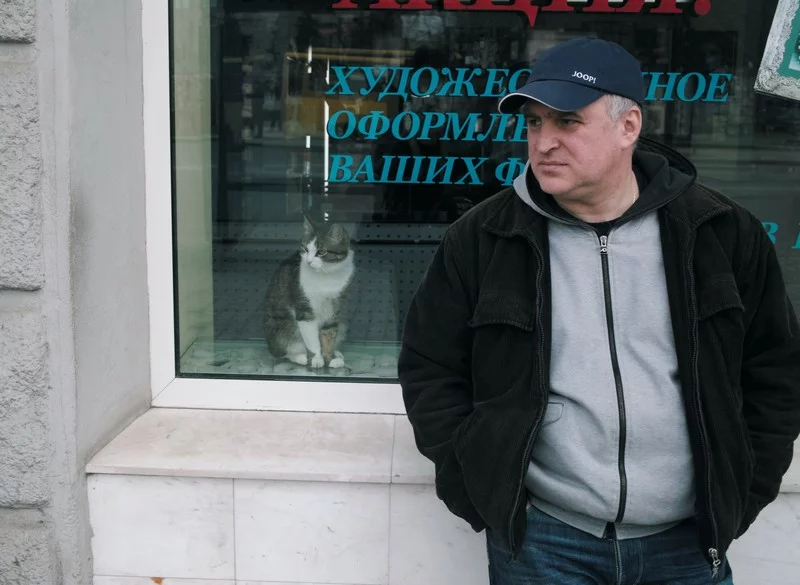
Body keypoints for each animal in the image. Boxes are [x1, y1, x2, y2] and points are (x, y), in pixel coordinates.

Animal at [264, 217, 354, 369]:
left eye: (321, 252)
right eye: (305, 249)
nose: (309, 261)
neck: (326, 276)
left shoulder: (334, 311)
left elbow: (328, 336)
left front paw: (330, 358)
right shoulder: (305, 310)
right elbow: (312, 340)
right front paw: (317, 358)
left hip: (342, 325)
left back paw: (337, 353)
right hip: (283, 328)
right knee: (283, 352)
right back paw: (300, 357)